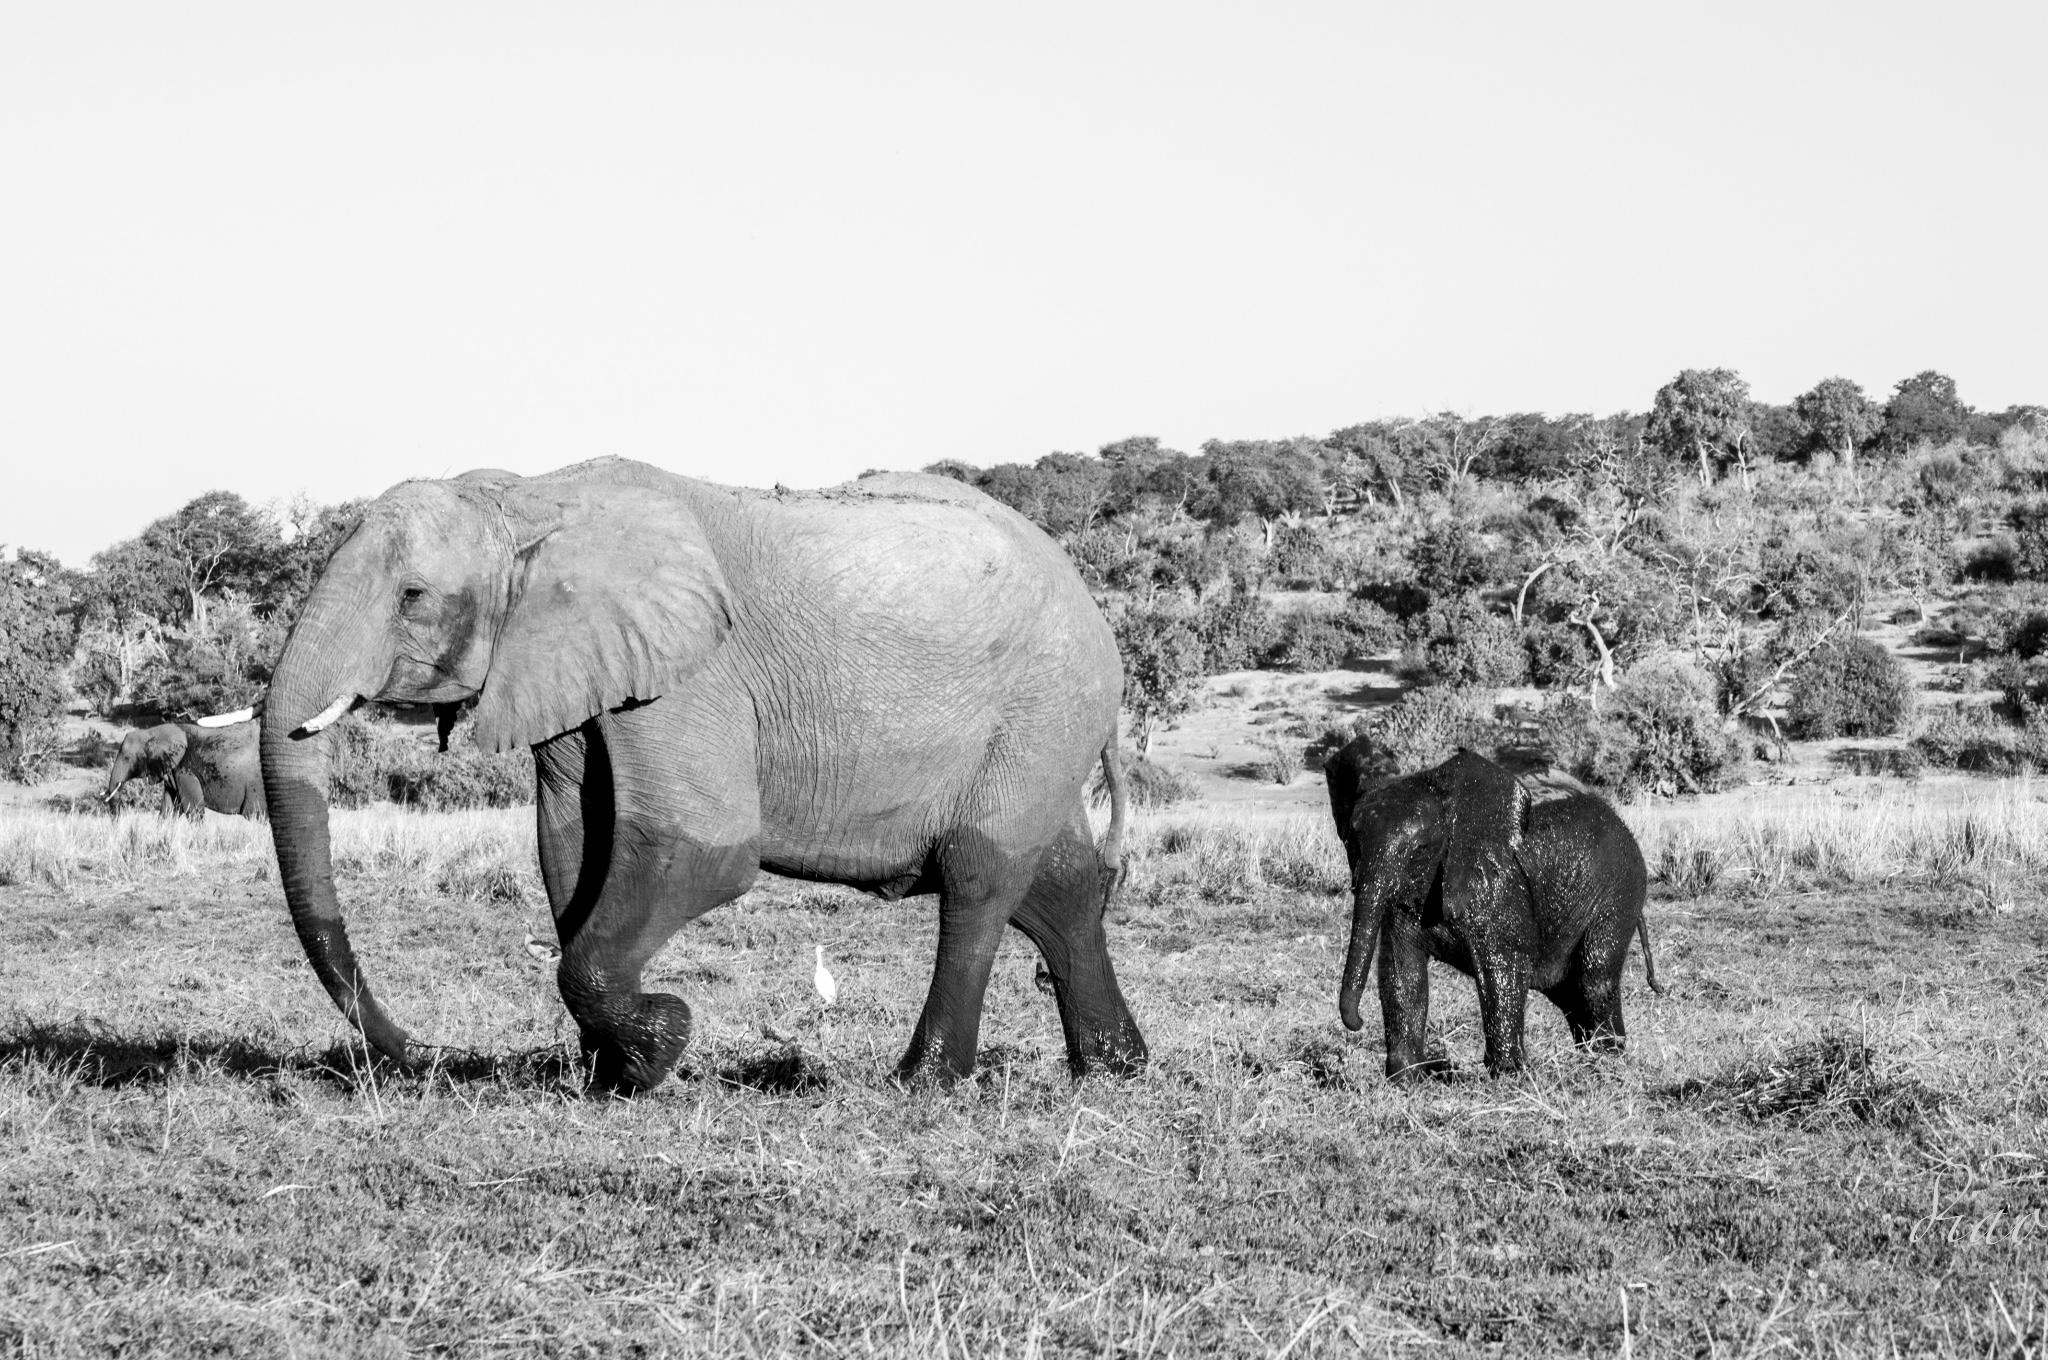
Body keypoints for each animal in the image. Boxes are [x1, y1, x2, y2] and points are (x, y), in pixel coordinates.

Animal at [258, 458, 1146, 1097]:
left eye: (413, 596)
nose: (418, 1054)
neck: (534, 495)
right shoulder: (575, 666)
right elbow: (572, 851)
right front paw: (610, 1076)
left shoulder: (694, 674)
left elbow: (702, 849)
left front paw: (662, 1043)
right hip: (1045, 732)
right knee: (1057, 882)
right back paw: (1114, 1069)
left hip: (1043, 711)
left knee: (978, 876)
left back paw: (924, 1083)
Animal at [1327, 745, 1662, 1081]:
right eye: (1352, 842)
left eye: (1418, 848)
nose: (1358, 1023)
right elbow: (1401, 968)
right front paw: (1406, 1078)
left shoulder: (1498, 885)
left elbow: (1502, 963)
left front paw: (1507, 1075)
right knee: (1568, 989)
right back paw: (1592, 1056)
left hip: (1620, 889)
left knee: (1595, 973)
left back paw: (1606, 1059)